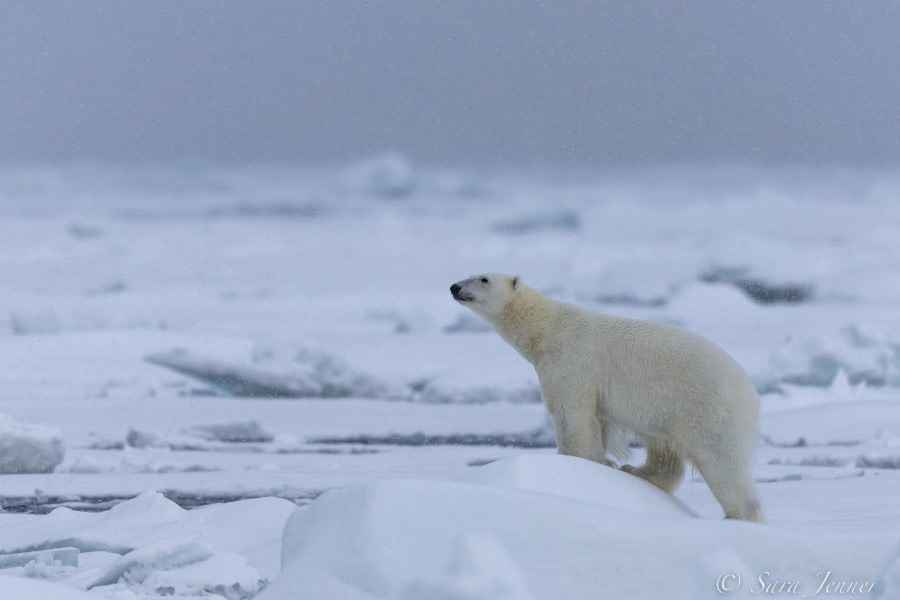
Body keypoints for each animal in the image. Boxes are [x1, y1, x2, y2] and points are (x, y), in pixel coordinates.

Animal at [450, 274, 768, 524]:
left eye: (483, 278)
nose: (454, 287)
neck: (546, 328)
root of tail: (752, 395)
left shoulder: (570, 361)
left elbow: (570, 414)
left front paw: (576, 461)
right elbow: (598, 421)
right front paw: (605, 462)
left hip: (709, 409)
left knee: (722, 463)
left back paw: (739, 516)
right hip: (671, 411)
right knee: (665, 451)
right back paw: (636, 471)